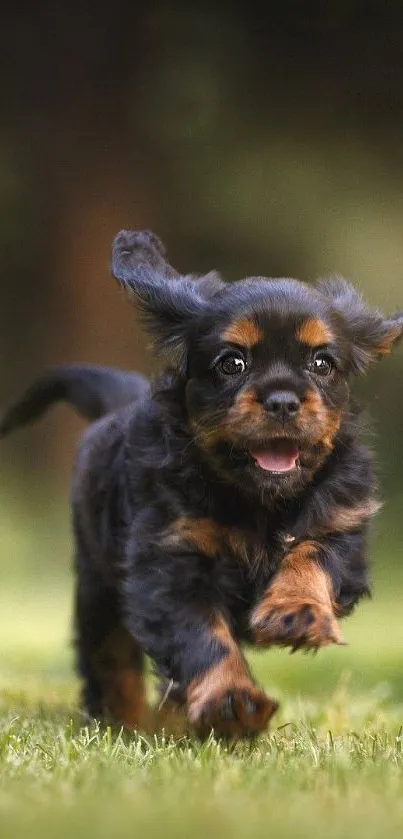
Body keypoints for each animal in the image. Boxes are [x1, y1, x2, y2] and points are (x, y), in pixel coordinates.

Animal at [1, 228, 402, 736]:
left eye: (321, 364)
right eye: (232, 363)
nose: (283, 401)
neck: (258, 499)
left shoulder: (342, 526)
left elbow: (311, 555)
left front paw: (295, 611)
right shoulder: (170, 561)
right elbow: (202, 638)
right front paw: (232, 702)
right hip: (98, 585)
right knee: (110, 661)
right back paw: (129, 722)